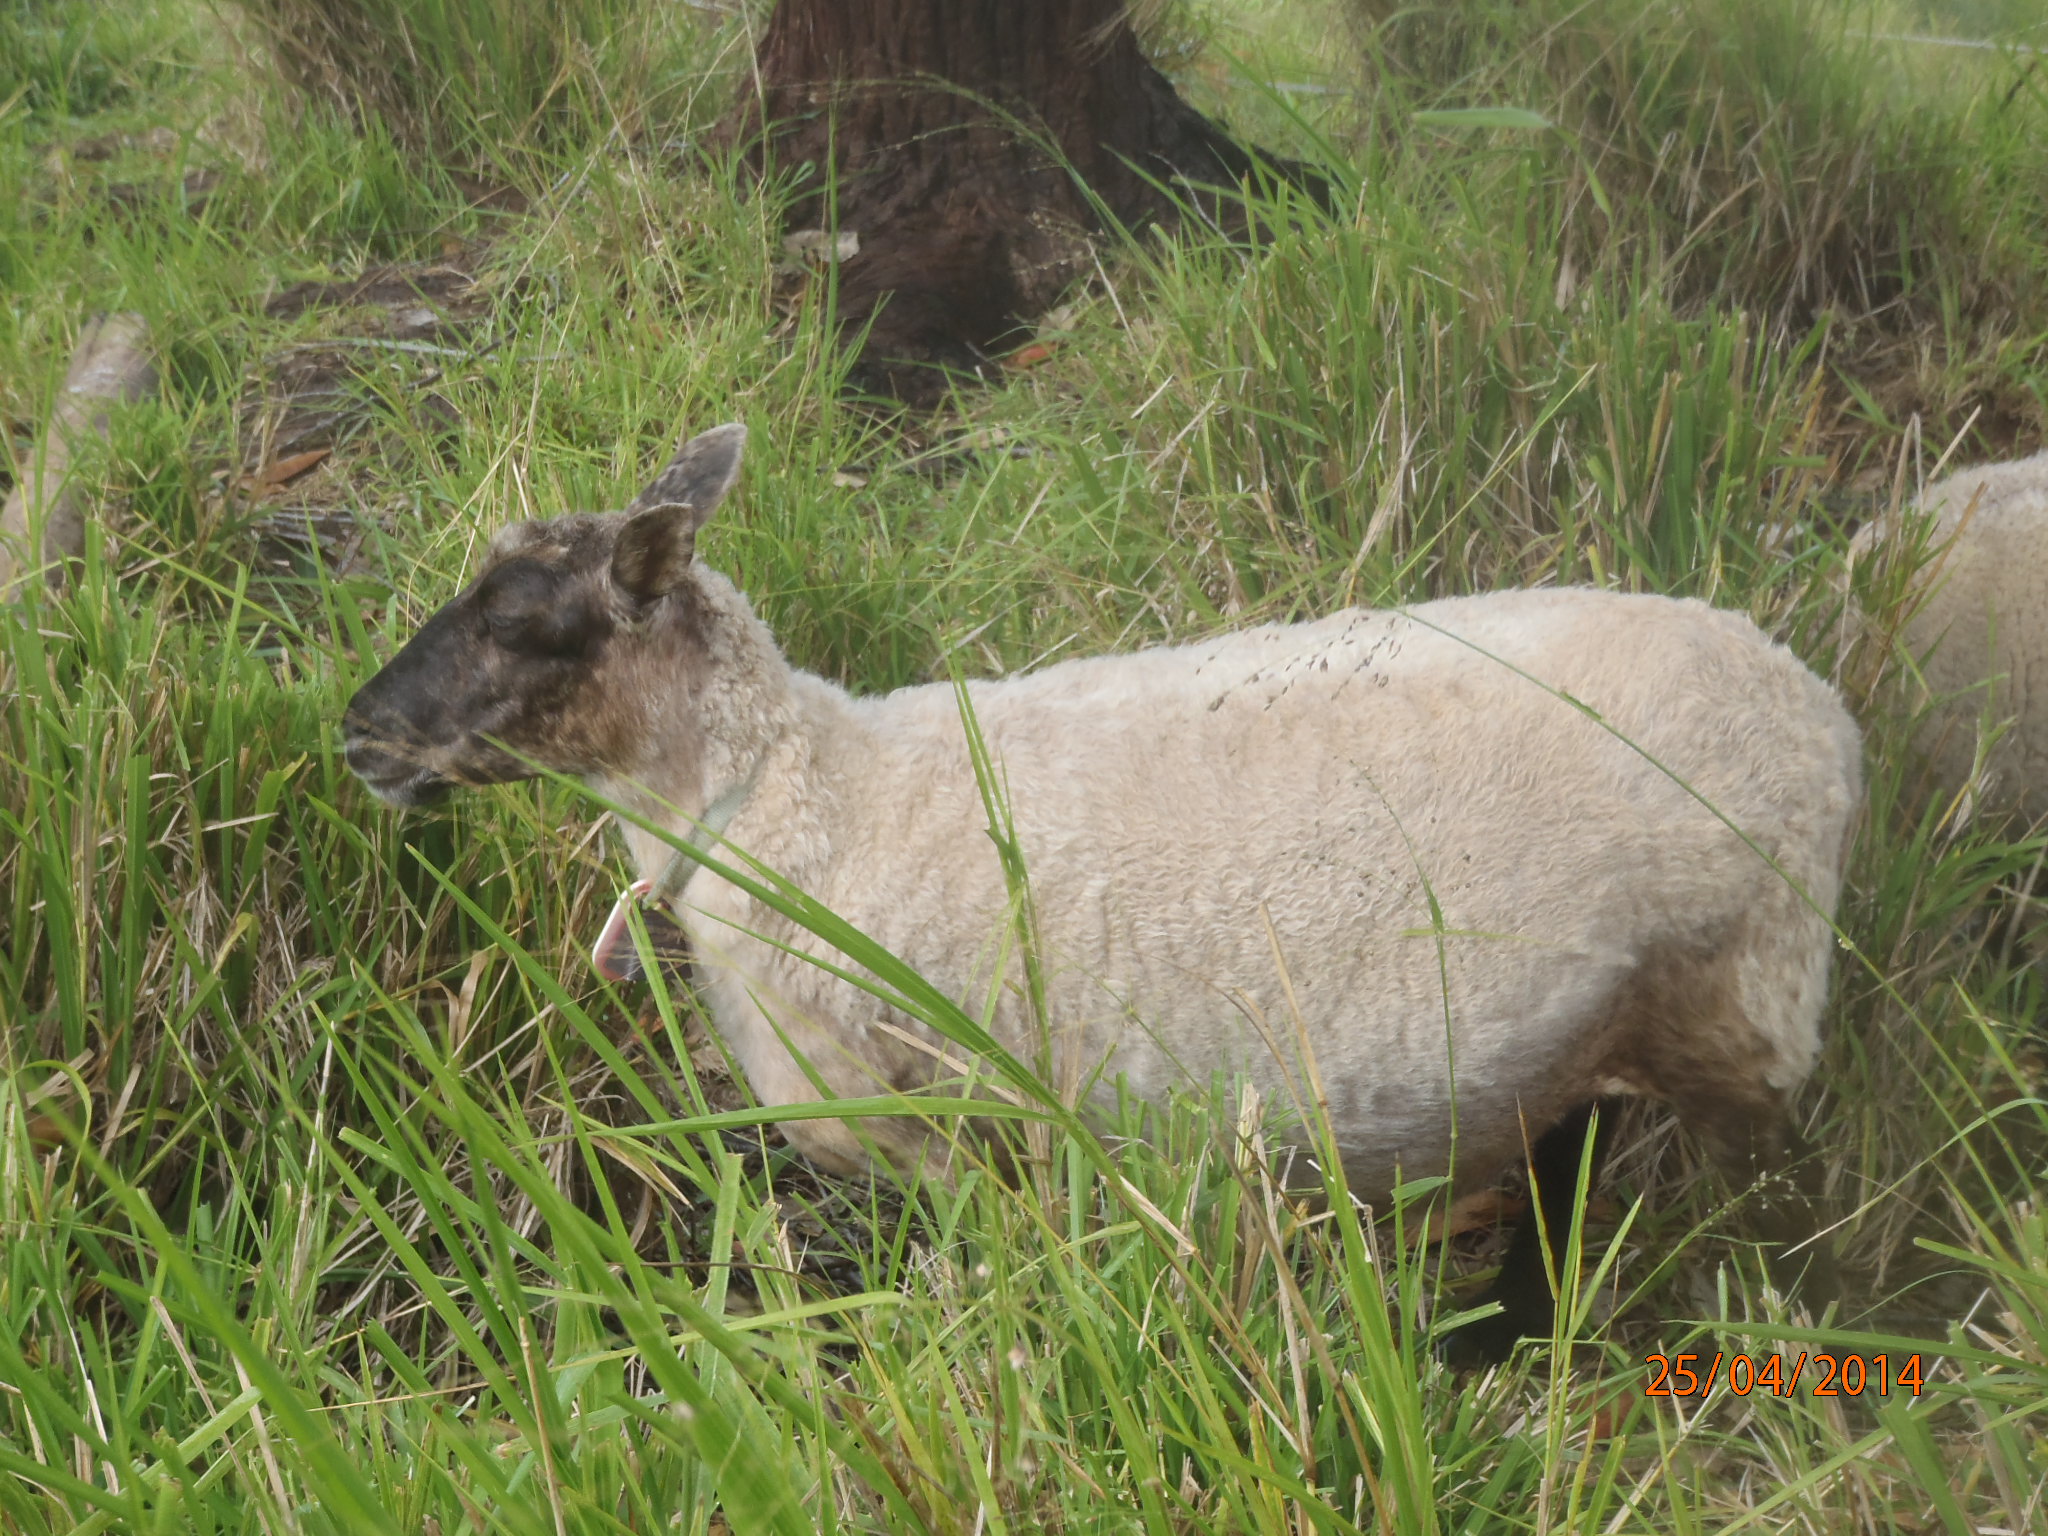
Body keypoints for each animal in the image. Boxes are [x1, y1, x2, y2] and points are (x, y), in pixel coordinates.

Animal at [344, 417, 1867, 1359]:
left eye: (522, 624)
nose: (357, 732)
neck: (796, 801)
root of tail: (1816, 703)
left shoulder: (959, 1127)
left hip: (1738, 1004)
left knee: (1744, 1201)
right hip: (1605, 1019)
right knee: (1569, 1155)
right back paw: (1495, 1340)